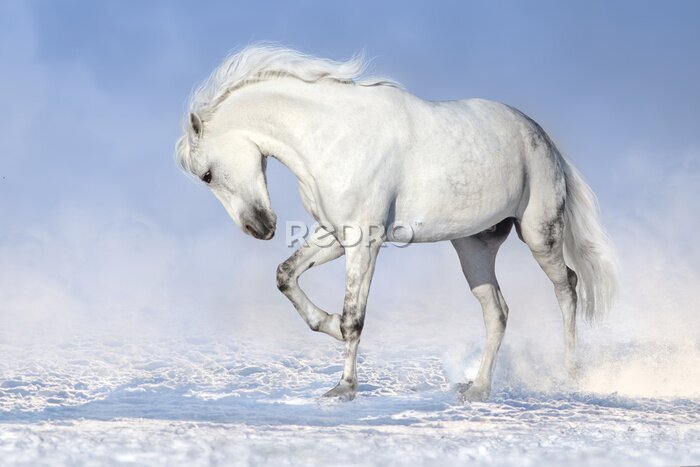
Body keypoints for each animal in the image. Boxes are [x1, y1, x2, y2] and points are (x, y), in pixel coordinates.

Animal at [176, 44, 619, 402]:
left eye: (207, 175)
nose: (260, 227)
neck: (331, 136)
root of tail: (543, 138)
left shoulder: (363, 241)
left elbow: (354, 316)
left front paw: (344, 389)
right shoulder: (335, 236)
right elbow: (286, 276)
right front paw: (327, 325)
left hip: (540, 236)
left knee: (567, 287)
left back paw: (569, 373)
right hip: (473, 249)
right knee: (498, 312)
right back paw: (478, 389)